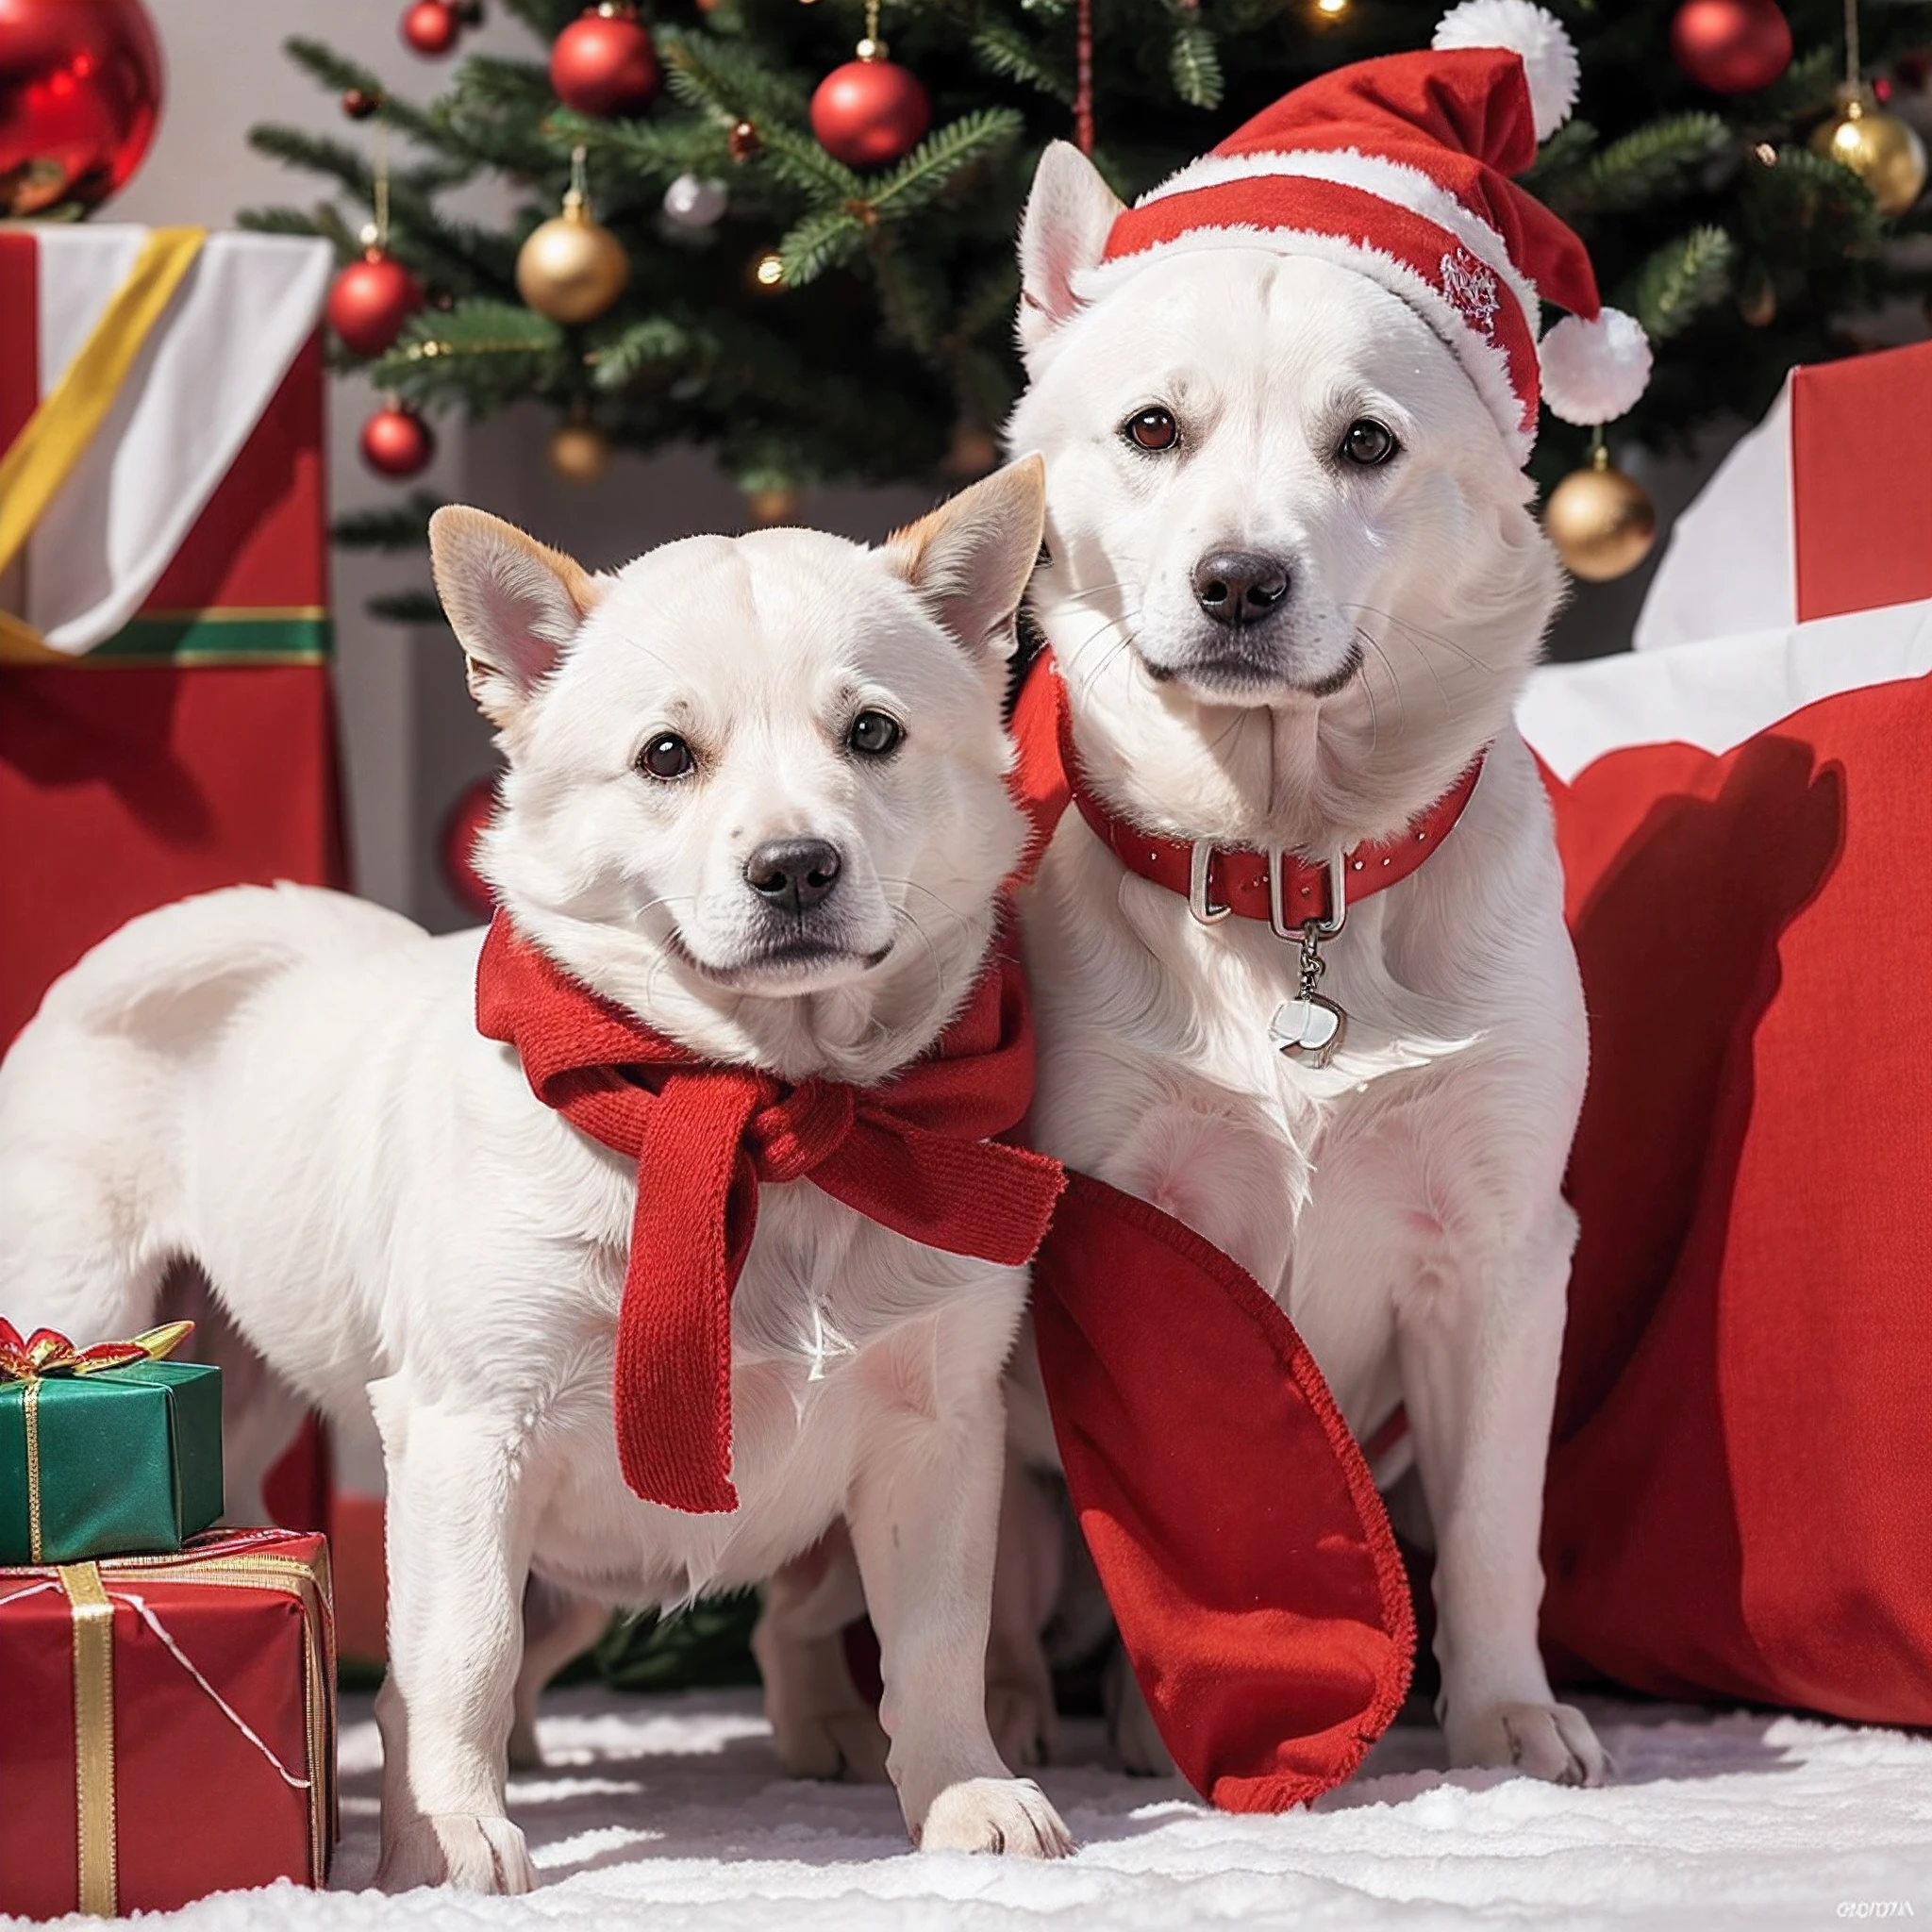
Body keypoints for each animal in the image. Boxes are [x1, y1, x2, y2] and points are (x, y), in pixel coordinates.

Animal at [996, 0, 1645, 1777]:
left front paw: (1506, 1716)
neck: (1287, 866)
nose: (1239, 581)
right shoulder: (1129, 1234)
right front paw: (1197, 1729)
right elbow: (1177, 1513)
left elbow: (1494, 1532)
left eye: (1366, 443)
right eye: (1152, 429)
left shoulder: (1501, 1249)